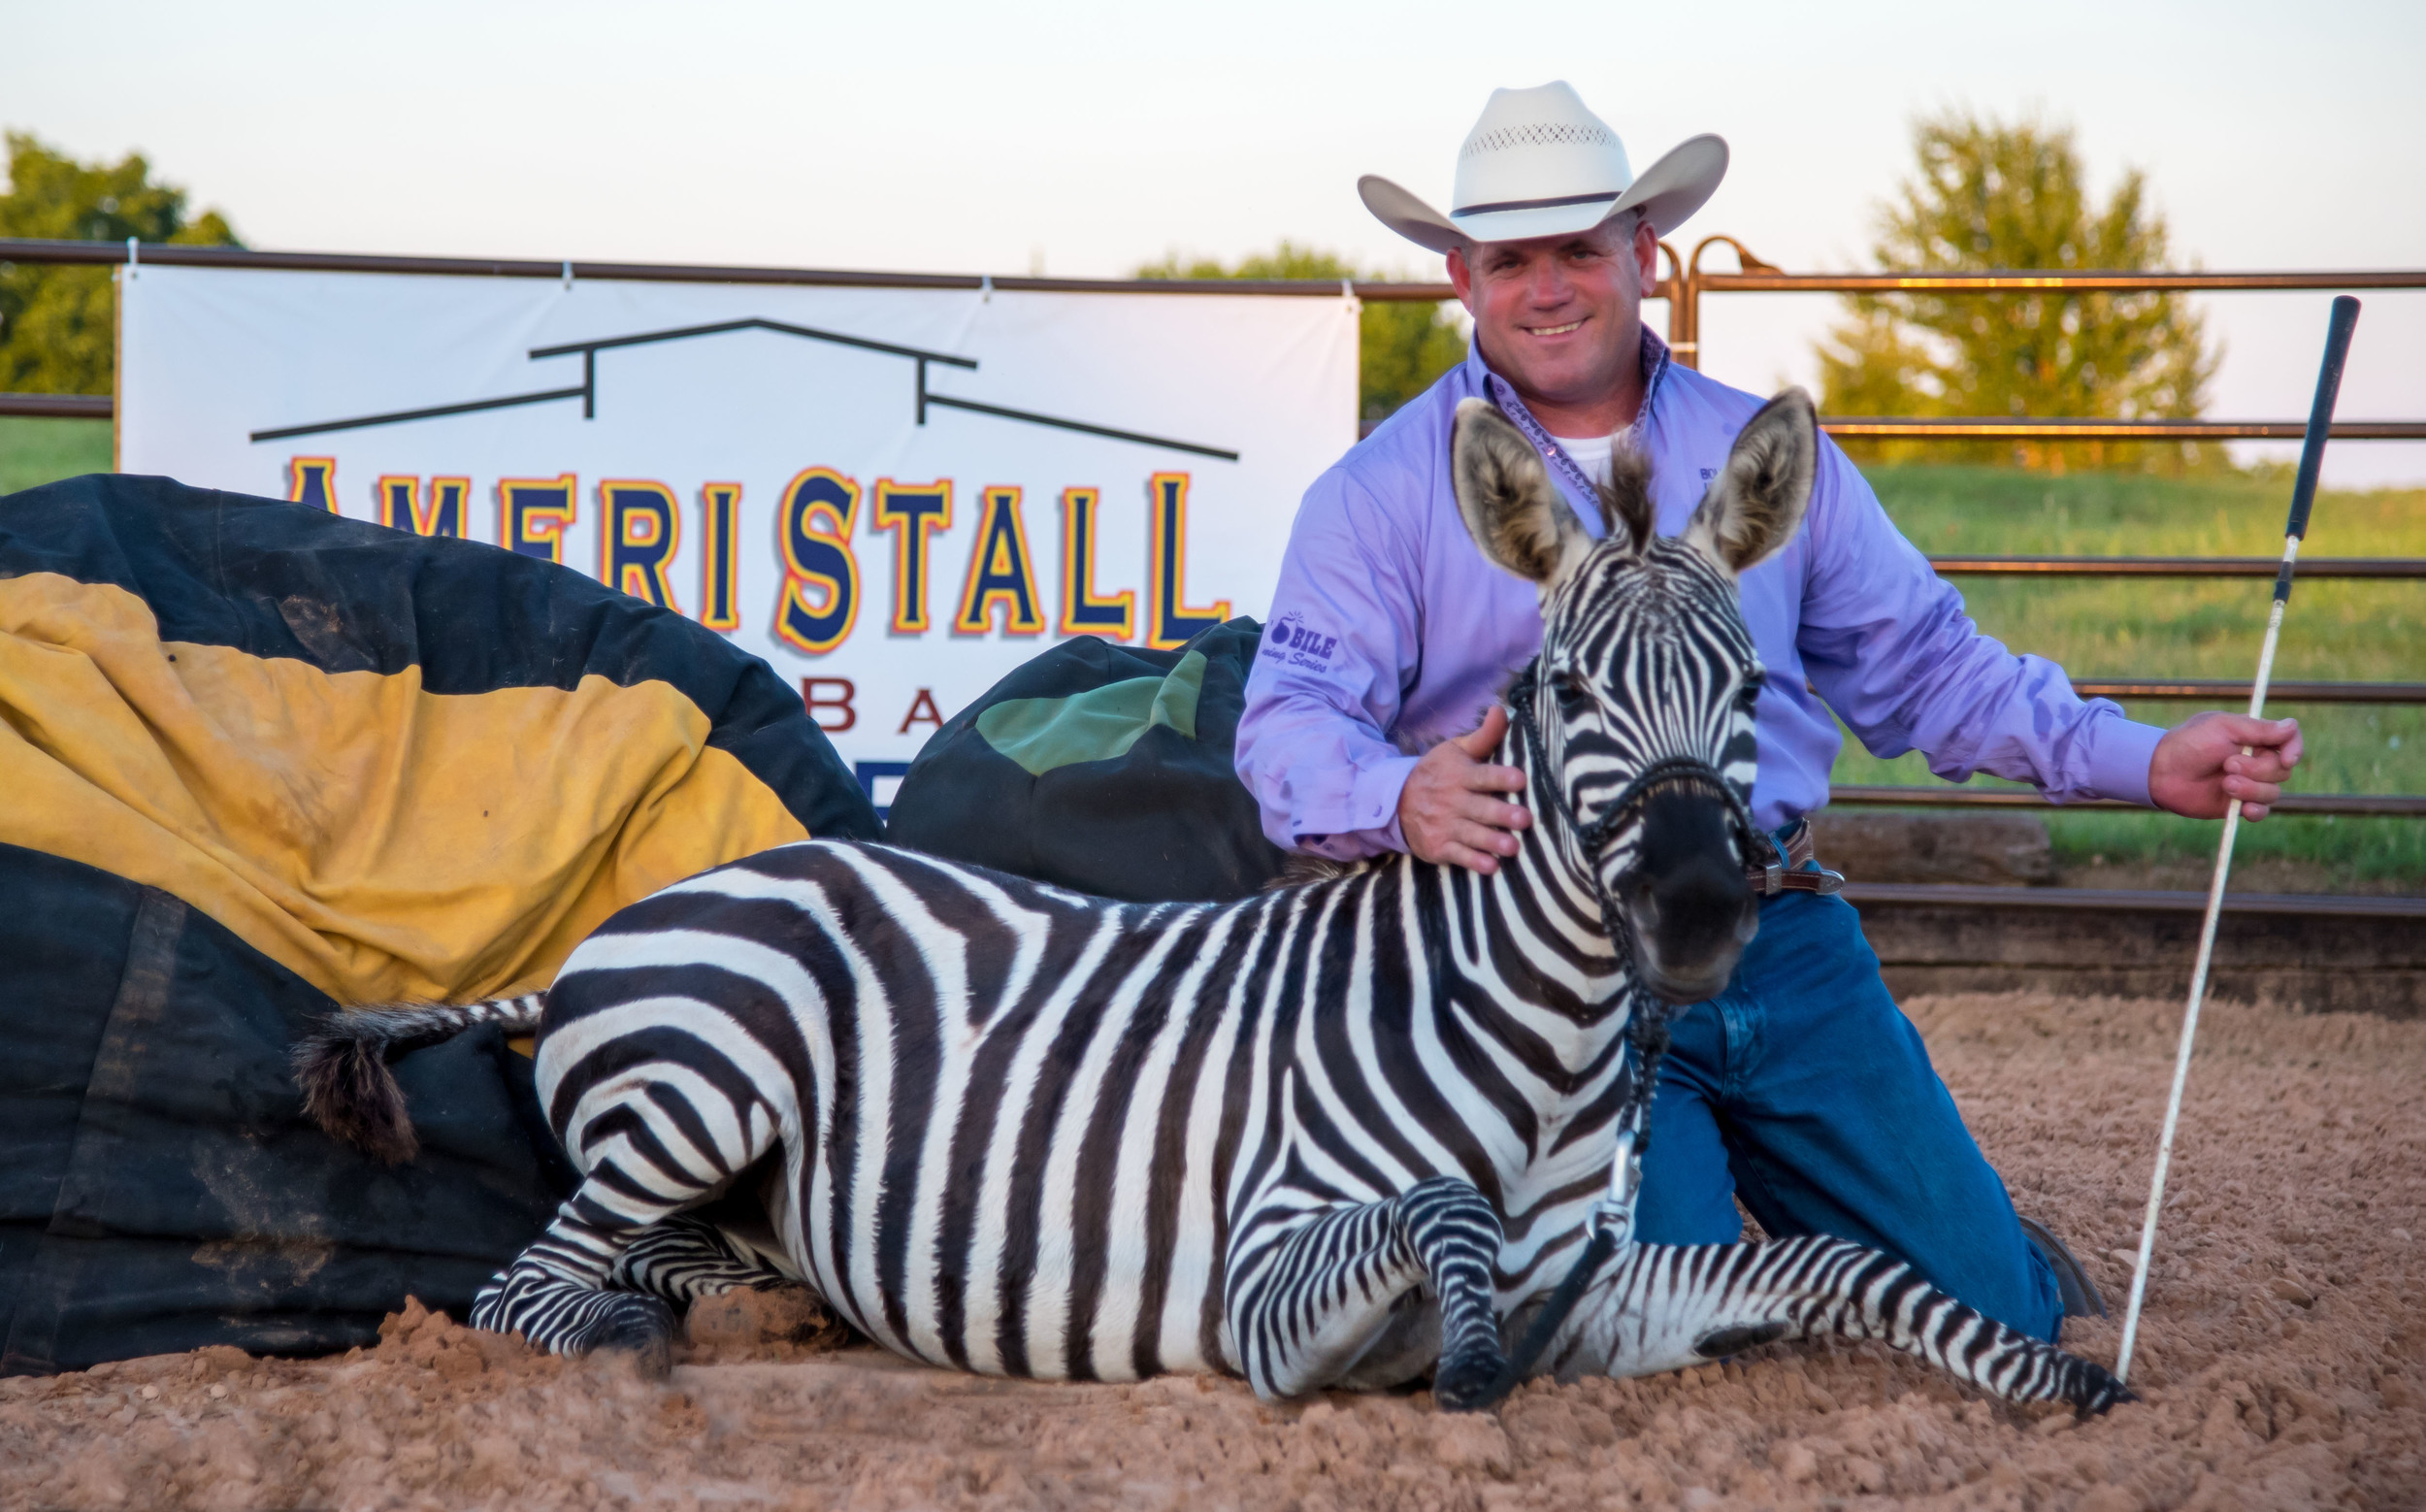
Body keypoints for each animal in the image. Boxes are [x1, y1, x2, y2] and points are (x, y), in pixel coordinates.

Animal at [301, 388, 2131, 1416]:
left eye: (1752, 684)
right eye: (1561, 690)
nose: (1693, 913)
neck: (1541, 1064)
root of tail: (604, 933)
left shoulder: (1605, 1294)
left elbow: (1846, 1264)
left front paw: (2057, 1370)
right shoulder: (1263, 1283)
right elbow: (1439, 1215)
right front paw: (1462, 1352)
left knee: (661, 1255)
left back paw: (752, 1302)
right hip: (707, 1077)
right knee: (526, 1288)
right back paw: (637, 1332)